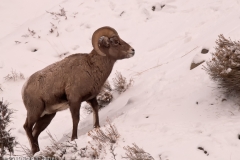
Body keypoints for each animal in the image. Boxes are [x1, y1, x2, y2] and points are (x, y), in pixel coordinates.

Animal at [22, 26, 135, 154]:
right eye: (116, 42)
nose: (132, 50)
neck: (91, 67)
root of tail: (25, 87)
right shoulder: (75, 101)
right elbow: (75, 119)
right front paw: (74, 138)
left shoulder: (91, 98)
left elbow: (96, 110)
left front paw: (96, 127)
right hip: (35, 112)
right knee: (27, 127)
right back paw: (35, 150)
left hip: (47, 116)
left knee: (35, 132)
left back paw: (36, 151)